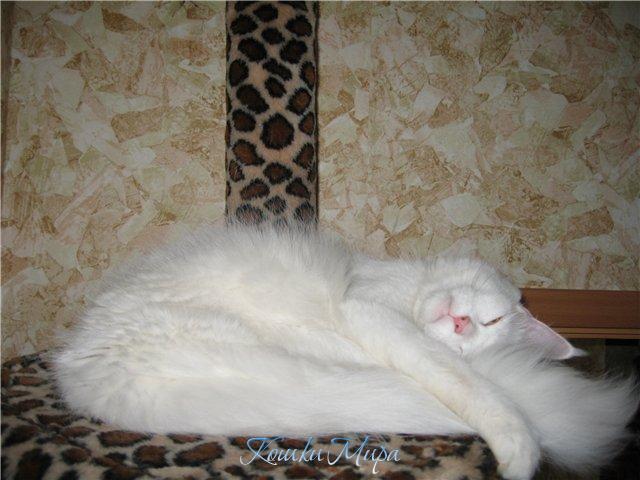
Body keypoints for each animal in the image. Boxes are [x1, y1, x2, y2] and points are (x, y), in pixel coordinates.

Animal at [52, 224, 638, 480]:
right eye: (492, 318)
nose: (461, 323)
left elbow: (461, 376)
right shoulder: (369, 310)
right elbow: (471, 384)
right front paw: (520, 448)